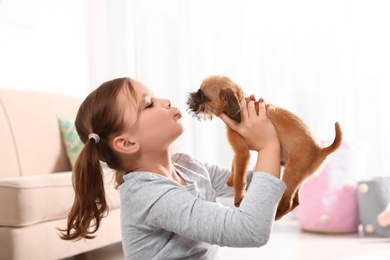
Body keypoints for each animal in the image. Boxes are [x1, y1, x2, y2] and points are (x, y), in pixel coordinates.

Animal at [187, 74, 342, 219]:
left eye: (202, 95)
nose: (191, 96)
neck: (241, 106)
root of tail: (321, 150)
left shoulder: (242, 152)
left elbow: (240, 177)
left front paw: (238, 197)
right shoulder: (238, 152)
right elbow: (234, 165)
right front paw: (231, 179)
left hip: (292, 173)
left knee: (287, 203)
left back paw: (274, 217)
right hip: (298, 178)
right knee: (296, 201)